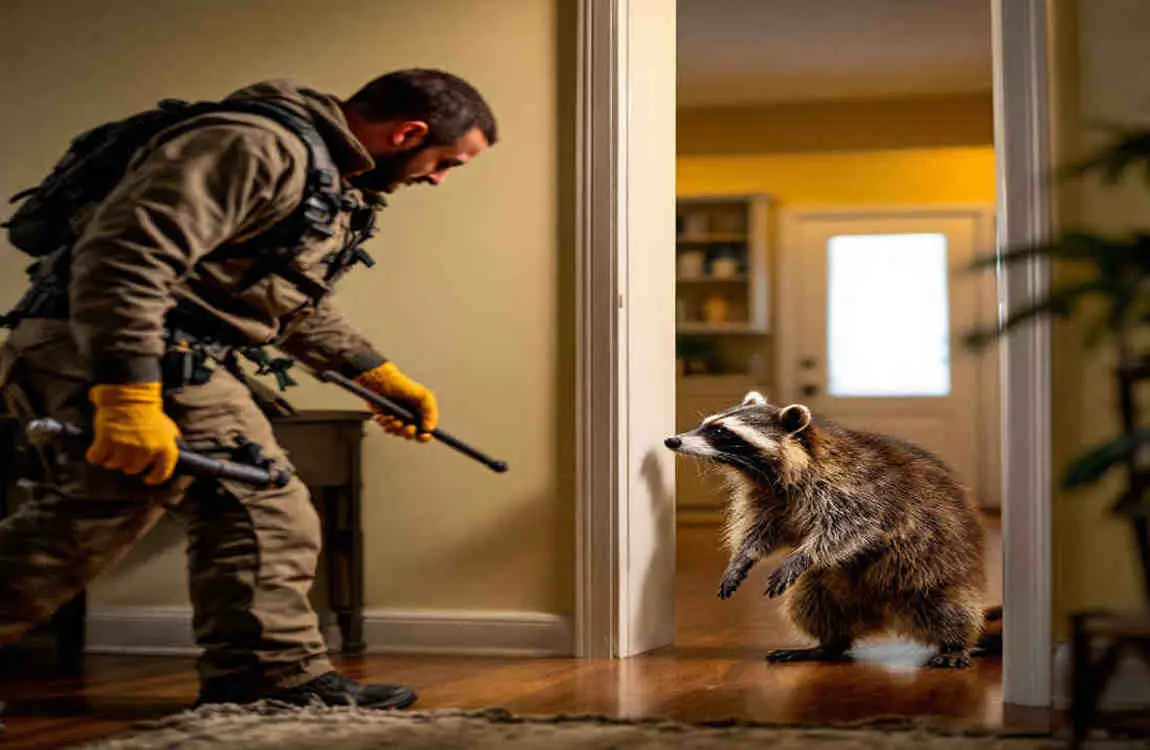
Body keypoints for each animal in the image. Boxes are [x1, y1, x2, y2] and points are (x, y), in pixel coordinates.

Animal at [665, 391, 989, 668]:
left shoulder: (853, 488)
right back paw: (828, 644)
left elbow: (850, 527)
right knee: (813, 605)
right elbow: (761, 532)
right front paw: (742, 558)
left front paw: (801, 556)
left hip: (932, 574)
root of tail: (882, 615)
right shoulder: (767, 499)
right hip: (829, 586)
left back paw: (956, 643)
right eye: (705, 424)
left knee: (948, 608)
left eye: (720, 432)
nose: (672, 441)